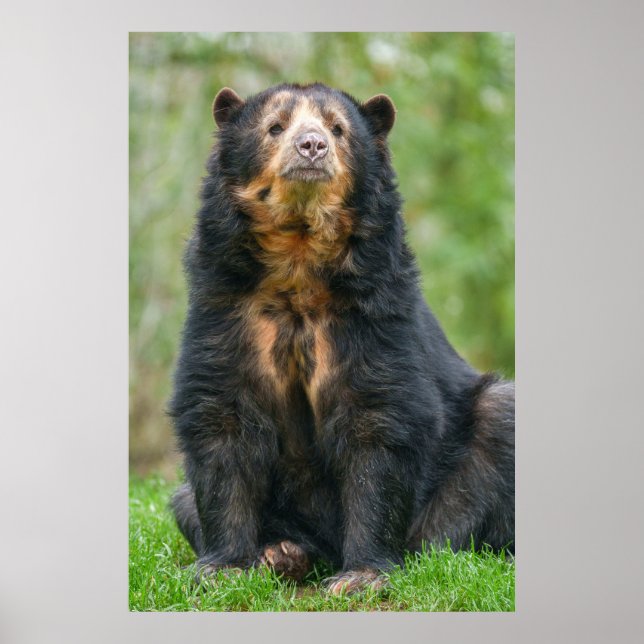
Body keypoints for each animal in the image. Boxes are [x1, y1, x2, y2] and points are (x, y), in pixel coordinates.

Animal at [169, 82, 514, 595]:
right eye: (275, 126)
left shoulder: (374, 310)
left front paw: (361, 576)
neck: (299, 257)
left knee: (497, 422)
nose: (311, 146)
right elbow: (222, 417)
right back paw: (282, 553)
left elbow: (378, 421)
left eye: (338, 128)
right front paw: (222, 568)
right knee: (184, 500)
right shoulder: (224, 304)